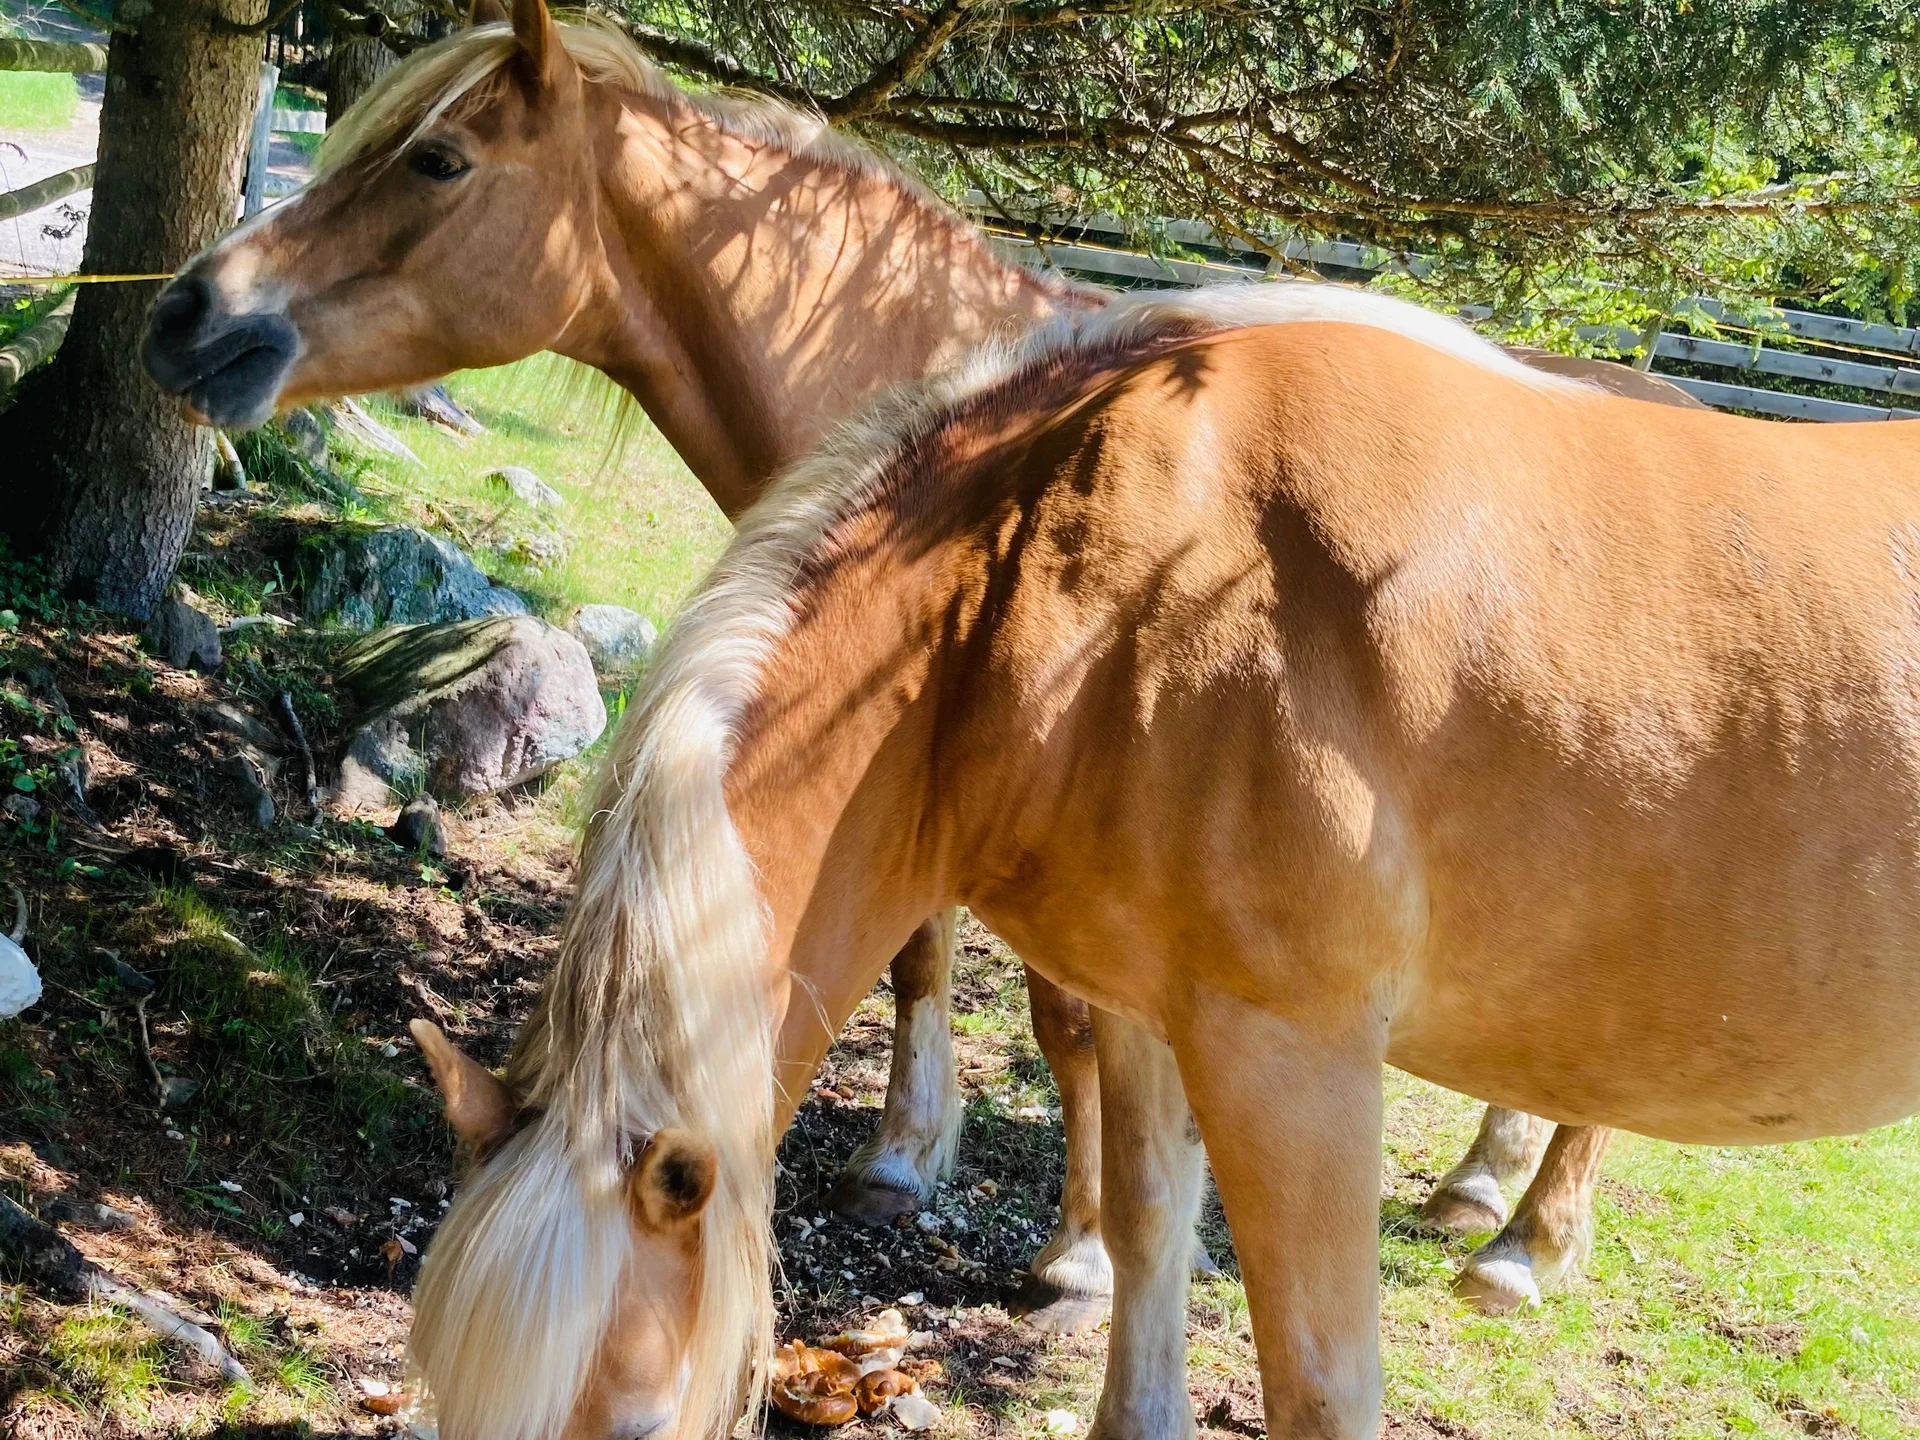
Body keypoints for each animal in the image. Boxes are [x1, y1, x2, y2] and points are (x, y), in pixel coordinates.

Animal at [139, 0, 1690, 1320]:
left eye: (439, 158)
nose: (182, 315)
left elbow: (1069, 1021)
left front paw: (1077, 1252)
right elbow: (921, 956)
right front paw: (903, 1159)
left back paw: (1524, 1244)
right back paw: (1479, 1182)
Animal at [388, 278, 1920, 1440]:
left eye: (639, 1421)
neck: (1096, 576)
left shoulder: (1293, 1061)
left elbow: (1320, 1381)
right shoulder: (1146, 1014)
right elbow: (1140, 1239)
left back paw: (1519, 1247)